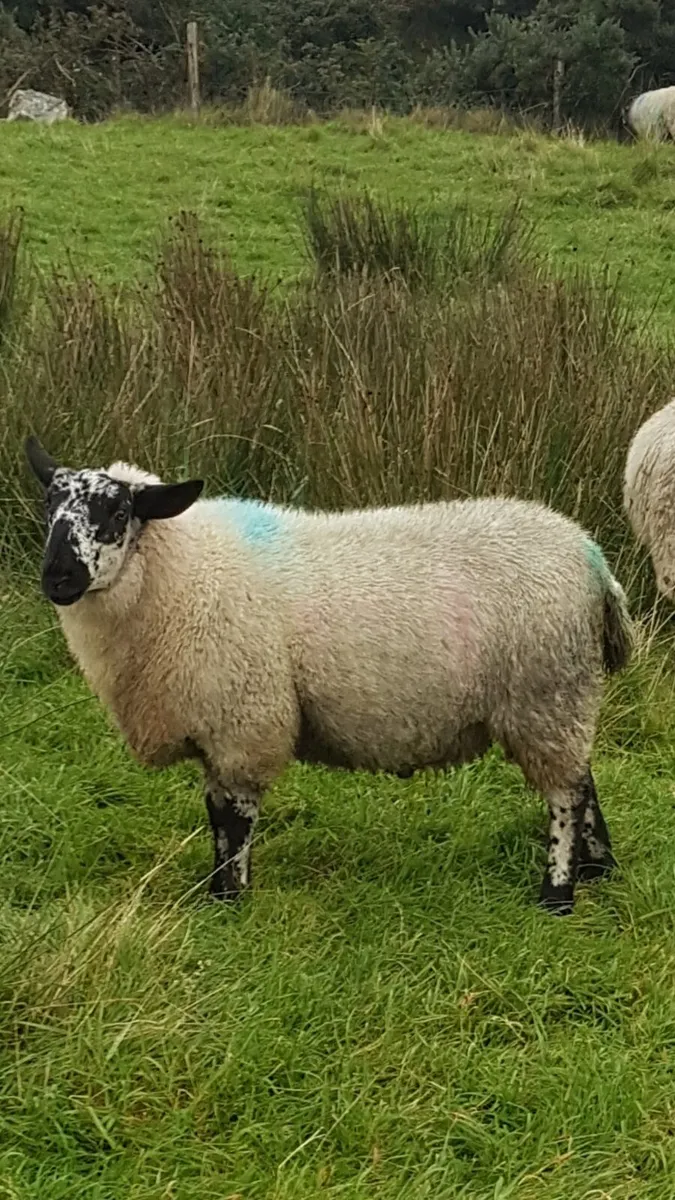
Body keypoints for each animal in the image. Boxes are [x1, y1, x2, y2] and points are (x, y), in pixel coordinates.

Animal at [25, 436, 632, 916]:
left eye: (115, 513)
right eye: (50, 504)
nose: (58, 578)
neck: (178, 572)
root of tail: (591, 557)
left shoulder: (244, 722)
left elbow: (234, 818)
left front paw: (228, 898)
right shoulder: (217, 727)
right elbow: (216, 814)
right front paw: (217, 888)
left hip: (545, 692)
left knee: (565, 794)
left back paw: (558, 892)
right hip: (560, 699)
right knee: (583, 779)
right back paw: (599, 867)